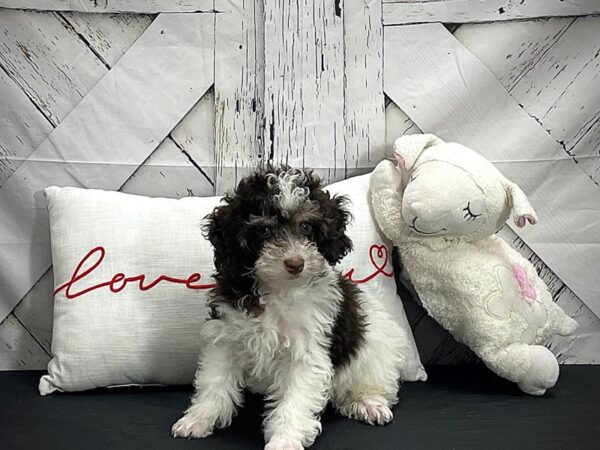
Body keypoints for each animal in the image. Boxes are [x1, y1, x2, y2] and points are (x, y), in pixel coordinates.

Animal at [171, 168, 410, 450]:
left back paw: (368, 403)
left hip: (375, 351)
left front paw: (284, 440)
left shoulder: (306, 352)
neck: (279, 290)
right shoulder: (226, 337)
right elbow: (214, 381)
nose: (295, 263)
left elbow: (295, 400)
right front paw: (198, 419)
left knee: (371, 383)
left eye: (306, 226)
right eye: (264, 230)